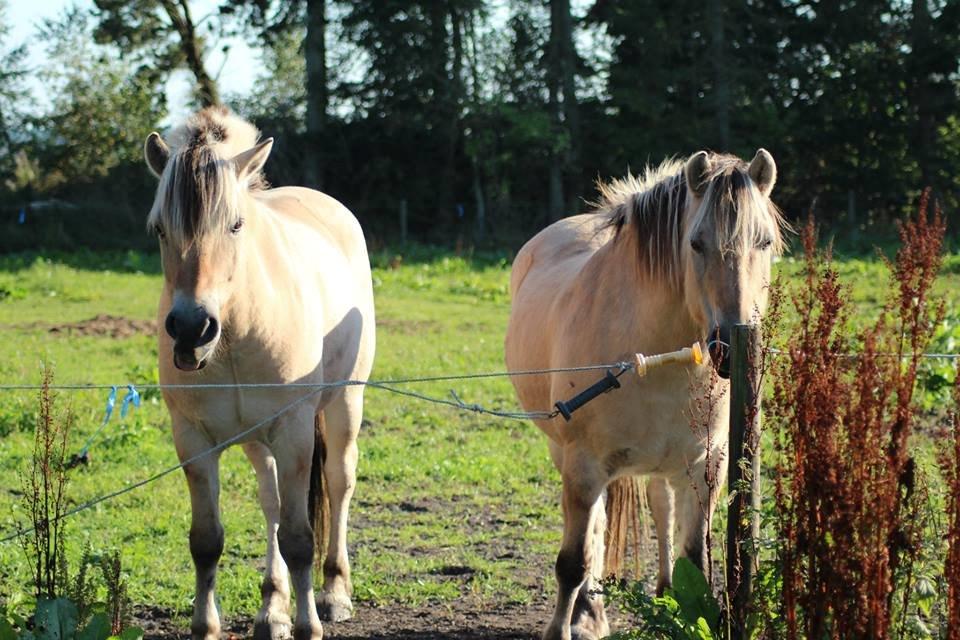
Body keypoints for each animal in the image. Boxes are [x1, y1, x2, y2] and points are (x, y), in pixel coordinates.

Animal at [142, 107, 376, 640]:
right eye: (160, 229)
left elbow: (299, 539)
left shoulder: (293, 433)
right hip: (255, 440)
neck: (235, 333)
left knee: (338, 482)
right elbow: (207, 539)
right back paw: (272, 608)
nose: (192, 328)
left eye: (235, 225)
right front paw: (207, 626)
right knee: (270, 502)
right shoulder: (193, 440)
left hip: (344, 404)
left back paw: (335, 592)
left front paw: (310, 625)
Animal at [506, 151, 784, 640]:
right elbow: (573, 562)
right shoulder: (584, 467)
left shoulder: (706, 465)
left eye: (764, 242)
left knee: (660, 508)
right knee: (595, 530)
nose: (730, 347)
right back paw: (590, 615)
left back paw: (662, 594)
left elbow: (695, 559)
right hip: (566, 455)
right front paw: (565, 626)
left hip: (666, 465)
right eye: (696, 244)